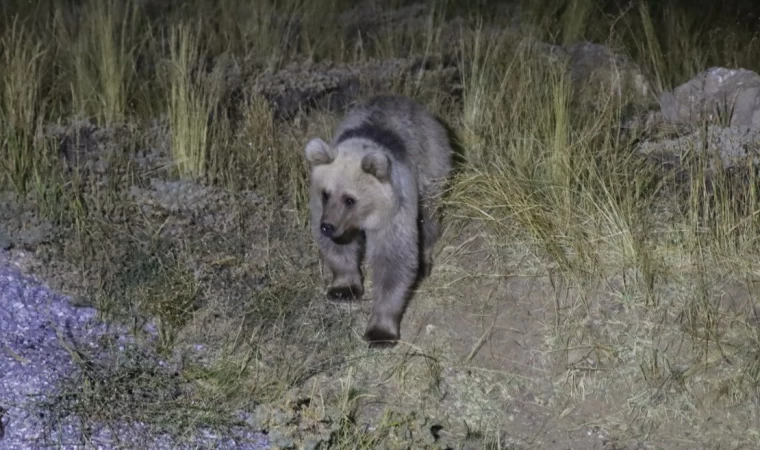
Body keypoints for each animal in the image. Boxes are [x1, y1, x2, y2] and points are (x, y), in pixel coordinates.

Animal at [302, 96, 458, 348]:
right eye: (326, 193)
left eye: (350, 199)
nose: (327, 227)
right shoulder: (323, 210)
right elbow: (339, 250)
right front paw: (344, 288)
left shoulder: (393, 215)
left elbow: (393, 263)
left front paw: (380, 332)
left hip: (432, 168)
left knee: (428, 219)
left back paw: (425, 262)